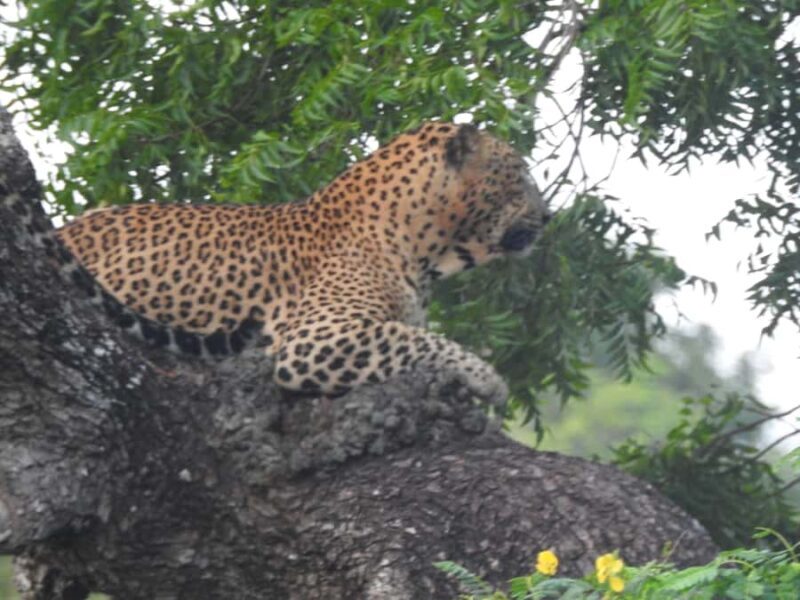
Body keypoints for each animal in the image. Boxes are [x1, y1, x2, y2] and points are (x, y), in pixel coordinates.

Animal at [4, 121, 549, 406]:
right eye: (519, 174)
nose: (548, 216)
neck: (425, 248)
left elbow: (416, 335)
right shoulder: (316, 338)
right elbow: (419, 340)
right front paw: (487, 378)